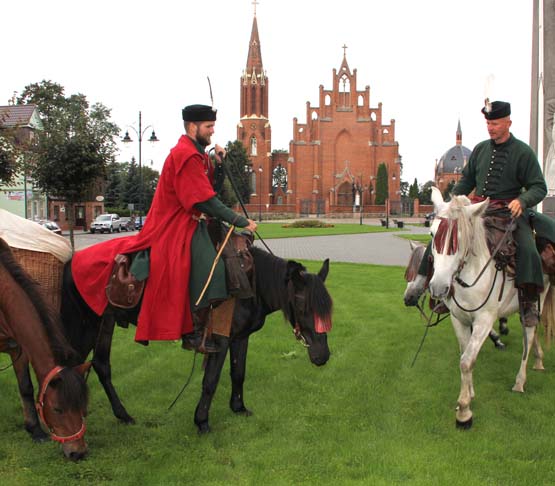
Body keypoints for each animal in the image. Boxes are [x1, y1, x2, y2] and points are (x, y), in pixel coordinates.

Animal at [0, 241, 90, 462]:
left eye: (82, 408)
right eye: (57, 409)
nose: (78, 453)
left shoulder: (19, 348)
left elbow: (26, 387)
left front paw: (35, 430)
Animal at [60, 247, 332, 432]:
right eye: (301, 303)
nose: (322, 356)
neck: (250, 283)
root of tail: (71, 261)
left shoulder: (240, 338)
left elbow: (238, 373)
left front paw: (238, 408)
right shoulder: (219, 341)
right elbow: (210, 380)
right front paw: (202, 421)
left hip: (102, 325)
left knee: (98, 365)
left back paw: (118, 415)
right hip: (89, 324)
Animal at [428, 186, 552, 430]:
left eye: (461, 239)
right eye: (431, 233)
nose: (438, 287)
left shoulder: (484, 321)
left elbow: (466, 361)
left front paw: (464, 412)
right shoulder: (459, 319)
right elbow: (465, 354)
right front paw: (470, 394)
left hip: (539, 295)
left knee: (530, 331)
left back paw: (520, 381)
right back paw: (538, 360)